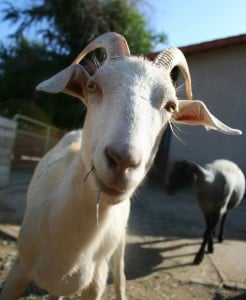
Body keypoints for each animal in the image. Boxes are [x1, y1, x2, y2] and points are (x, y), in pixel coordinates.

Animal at [0, 31, 242, 298]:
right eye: (93, 85)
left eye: (171, 106)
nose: (123, 160)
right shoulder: (19, 270)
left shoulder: (96, 279)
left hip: (119, 248)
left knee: (121, 279)